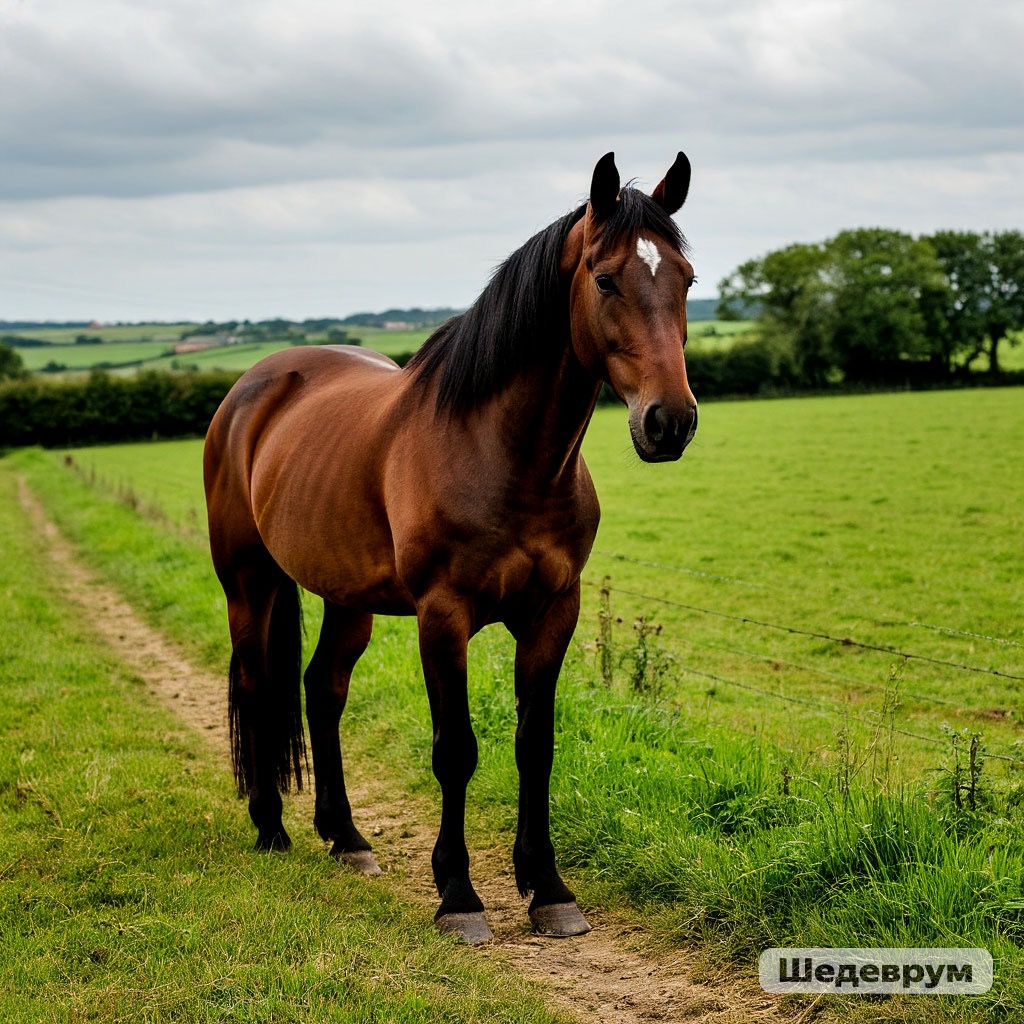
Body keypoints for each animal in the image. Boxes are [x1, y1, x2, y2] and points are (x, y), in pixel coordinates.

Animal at [203, 151, 698, 943]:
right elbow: (455, 750)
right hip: (248, 585)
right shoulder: (443, 617)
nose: (669, 422)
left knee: (322, 690)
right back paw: (271, 829)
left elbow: (536, 745)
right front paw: (459, 896)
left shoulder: (555, 612)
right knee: (257, 685)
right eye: (605, 278)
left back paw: (346, 838)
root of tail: (251, 390)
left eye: (686, 279)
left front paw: (548, 888)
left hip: (347, 600)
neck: (501, 453)